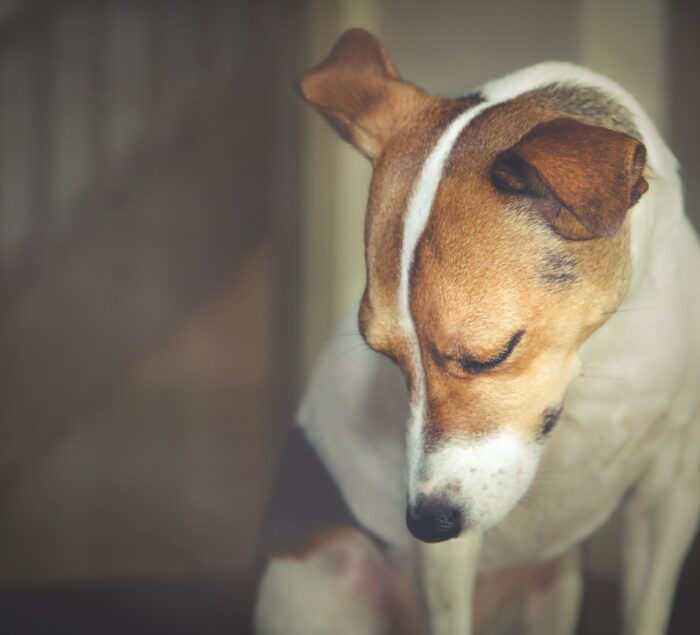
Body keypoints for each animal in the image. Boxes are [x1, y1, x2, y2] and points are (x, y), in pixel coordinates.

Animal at [254, 28, 696, 635]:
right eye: (386, 358)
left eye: (490, 355)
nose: (426, 524)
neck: (603, 353)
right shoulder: (447, 557)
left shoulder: (669, 494)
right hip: (332, 573)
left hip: (555, 585)